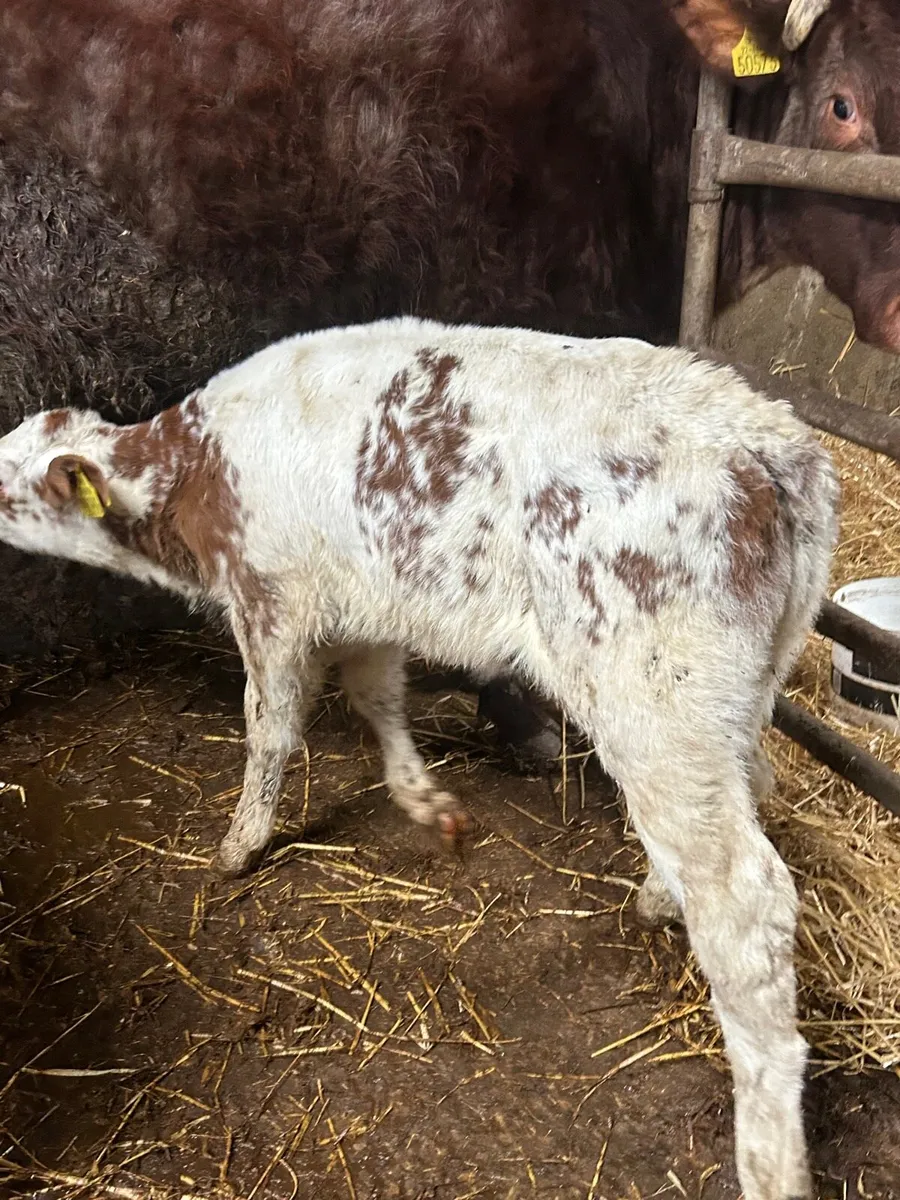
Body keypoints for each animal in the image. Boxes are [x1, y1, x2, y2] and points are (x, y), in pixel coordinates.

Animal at [0, 317, 839, 1200]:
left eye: (8, 488)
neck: (196, 470)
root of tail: (764, 437)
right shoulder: (367, 597)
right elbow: (377, 698)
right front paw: (421, 800)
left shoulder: (271, 599)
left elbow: (269, 727)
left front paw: (239, 845)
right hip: (734, 696)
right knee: (750, 789)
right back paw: (655, 898)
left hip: (656, 697)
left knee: (743, 900)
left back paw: (769, 1156)